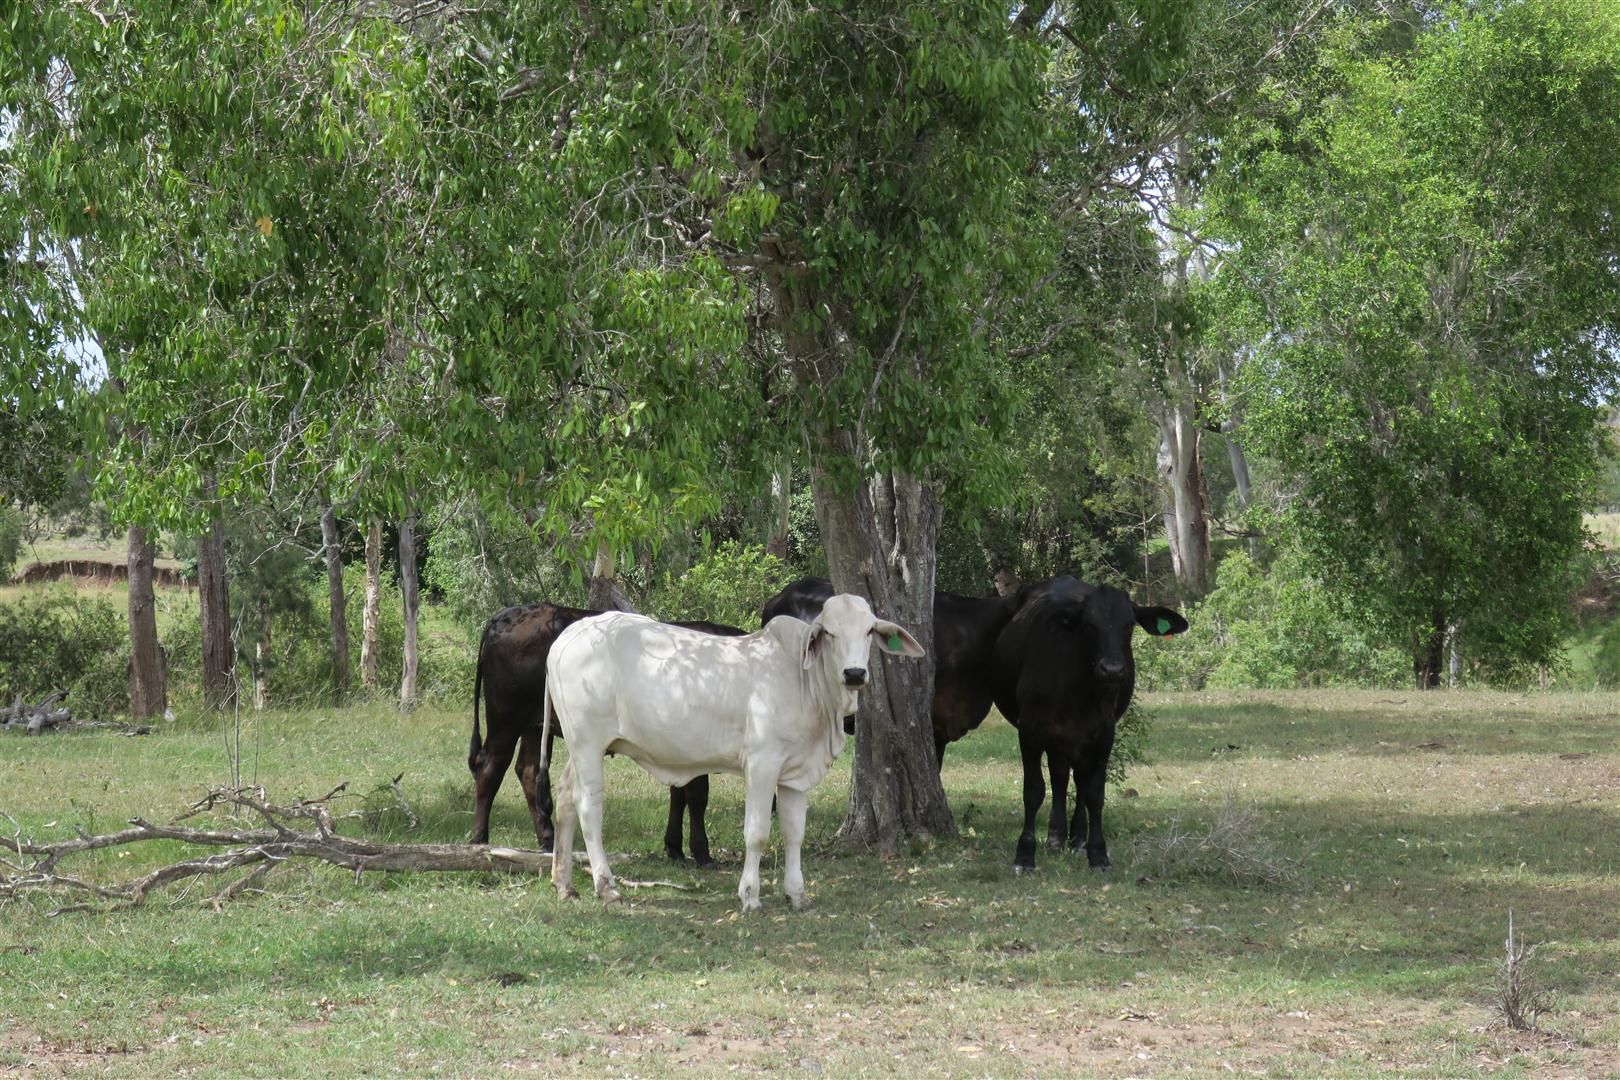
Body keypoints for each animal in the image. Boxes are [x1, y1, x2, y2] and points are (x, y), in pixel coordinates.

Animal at [469, 605, 745, 867]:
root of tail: (507, 615)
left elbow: (679, 796)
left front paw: (675, 848)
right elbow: (697, 798)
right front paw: (702, 852)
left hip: (534, 726)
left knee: (528, 770)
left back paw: (547, 839)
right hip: (506, 718)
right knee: (490, 768)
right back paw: (479, 839)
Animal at [544, 595, 926, 906]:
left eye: (869, 631)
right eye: (829, 633)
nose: (854, 673)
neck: (806, 684)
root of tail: (567, 637)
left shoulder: (796, 774)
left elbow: (794, 833)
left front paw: (797, 894)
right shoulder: (762, 763)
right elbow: (756, 833)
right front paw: (750, 895)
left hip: (581, 748)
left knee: (564, 798)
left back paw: (564, 884)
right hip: (588, 743)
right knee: (588, 807)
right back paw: (606, 887)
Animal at [984, 579, 1192, 874]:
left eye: (1129, 624)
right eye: (1088, 624)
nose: (1112, 669)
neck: (1077, 688)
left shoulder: (1104, 734)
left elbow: (1095, 793)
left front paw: (1098, 853)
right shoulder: (1029, 730)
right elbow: (1033, 791)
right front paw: (1024, 855)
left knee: (1075, 779)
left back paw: (1076, 838)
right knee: (1059, 776)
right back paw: (1056, 836)